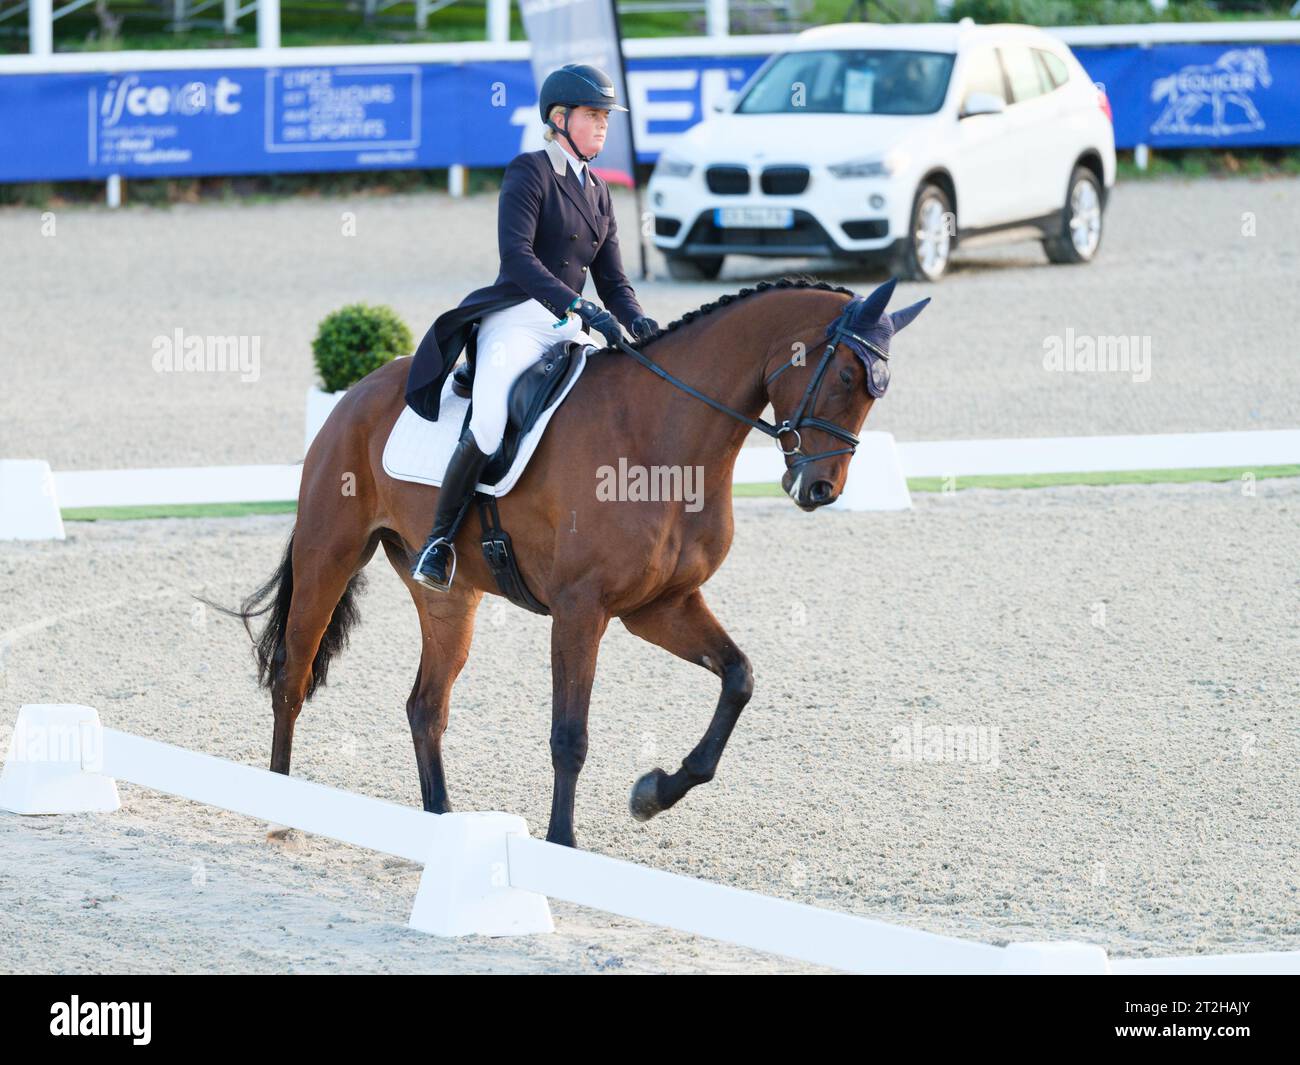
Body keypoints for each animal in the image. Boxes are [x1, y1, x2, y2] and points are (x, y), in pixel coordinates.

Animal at [228, 276, 930, 847]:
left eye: (877, 393)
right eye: (845, 378)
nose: (820, 490)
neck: (664, 439)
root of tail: (357, 392)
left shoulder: (659, 606)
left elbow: (739, 678)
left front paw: (652, 793)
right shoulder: (579, 608)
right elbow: (570, 735)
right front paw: (562, 844)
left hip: (449, 595)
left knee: (425, 705)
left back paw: (441, 826)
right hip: (330, 552)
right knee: (291, 677)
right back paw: (280, 811)